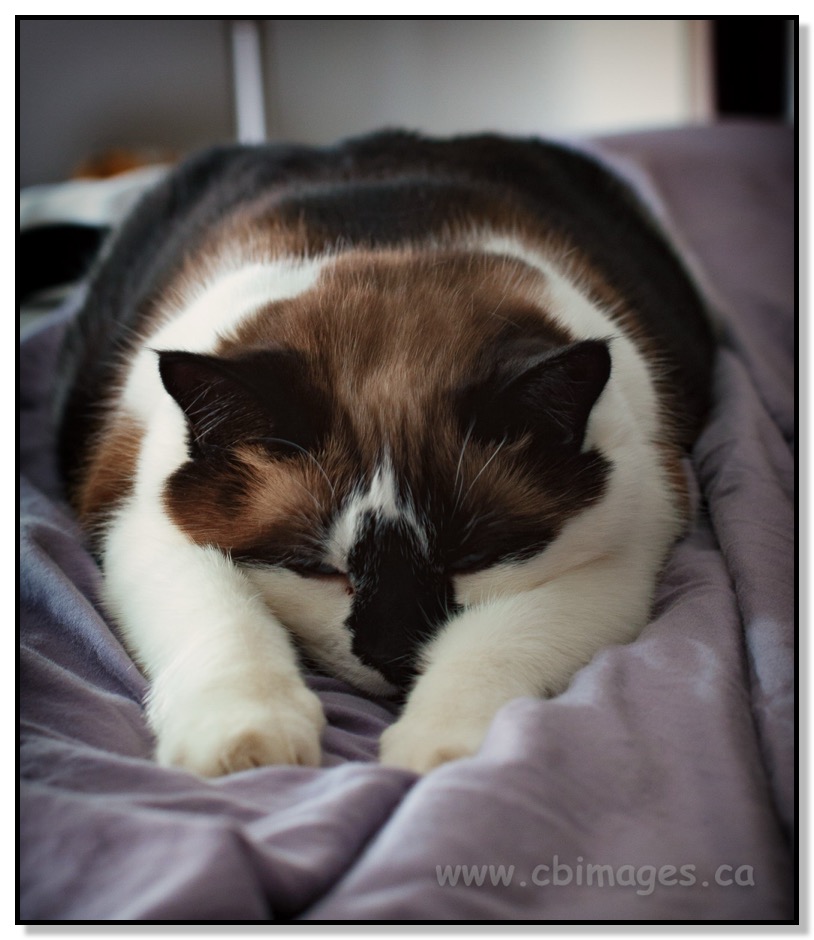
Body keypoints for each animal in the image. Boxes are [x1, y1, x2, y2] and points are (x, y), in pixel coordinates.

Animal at [54, 132, 712, 780]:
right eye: (318, 570)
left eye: (473, 559)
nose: (396, 657)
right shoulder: (139, 519)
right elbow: (226, 615)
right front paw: (246, 742)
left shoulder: (628, 547)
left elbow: (501, 634)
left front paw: (439, 748)